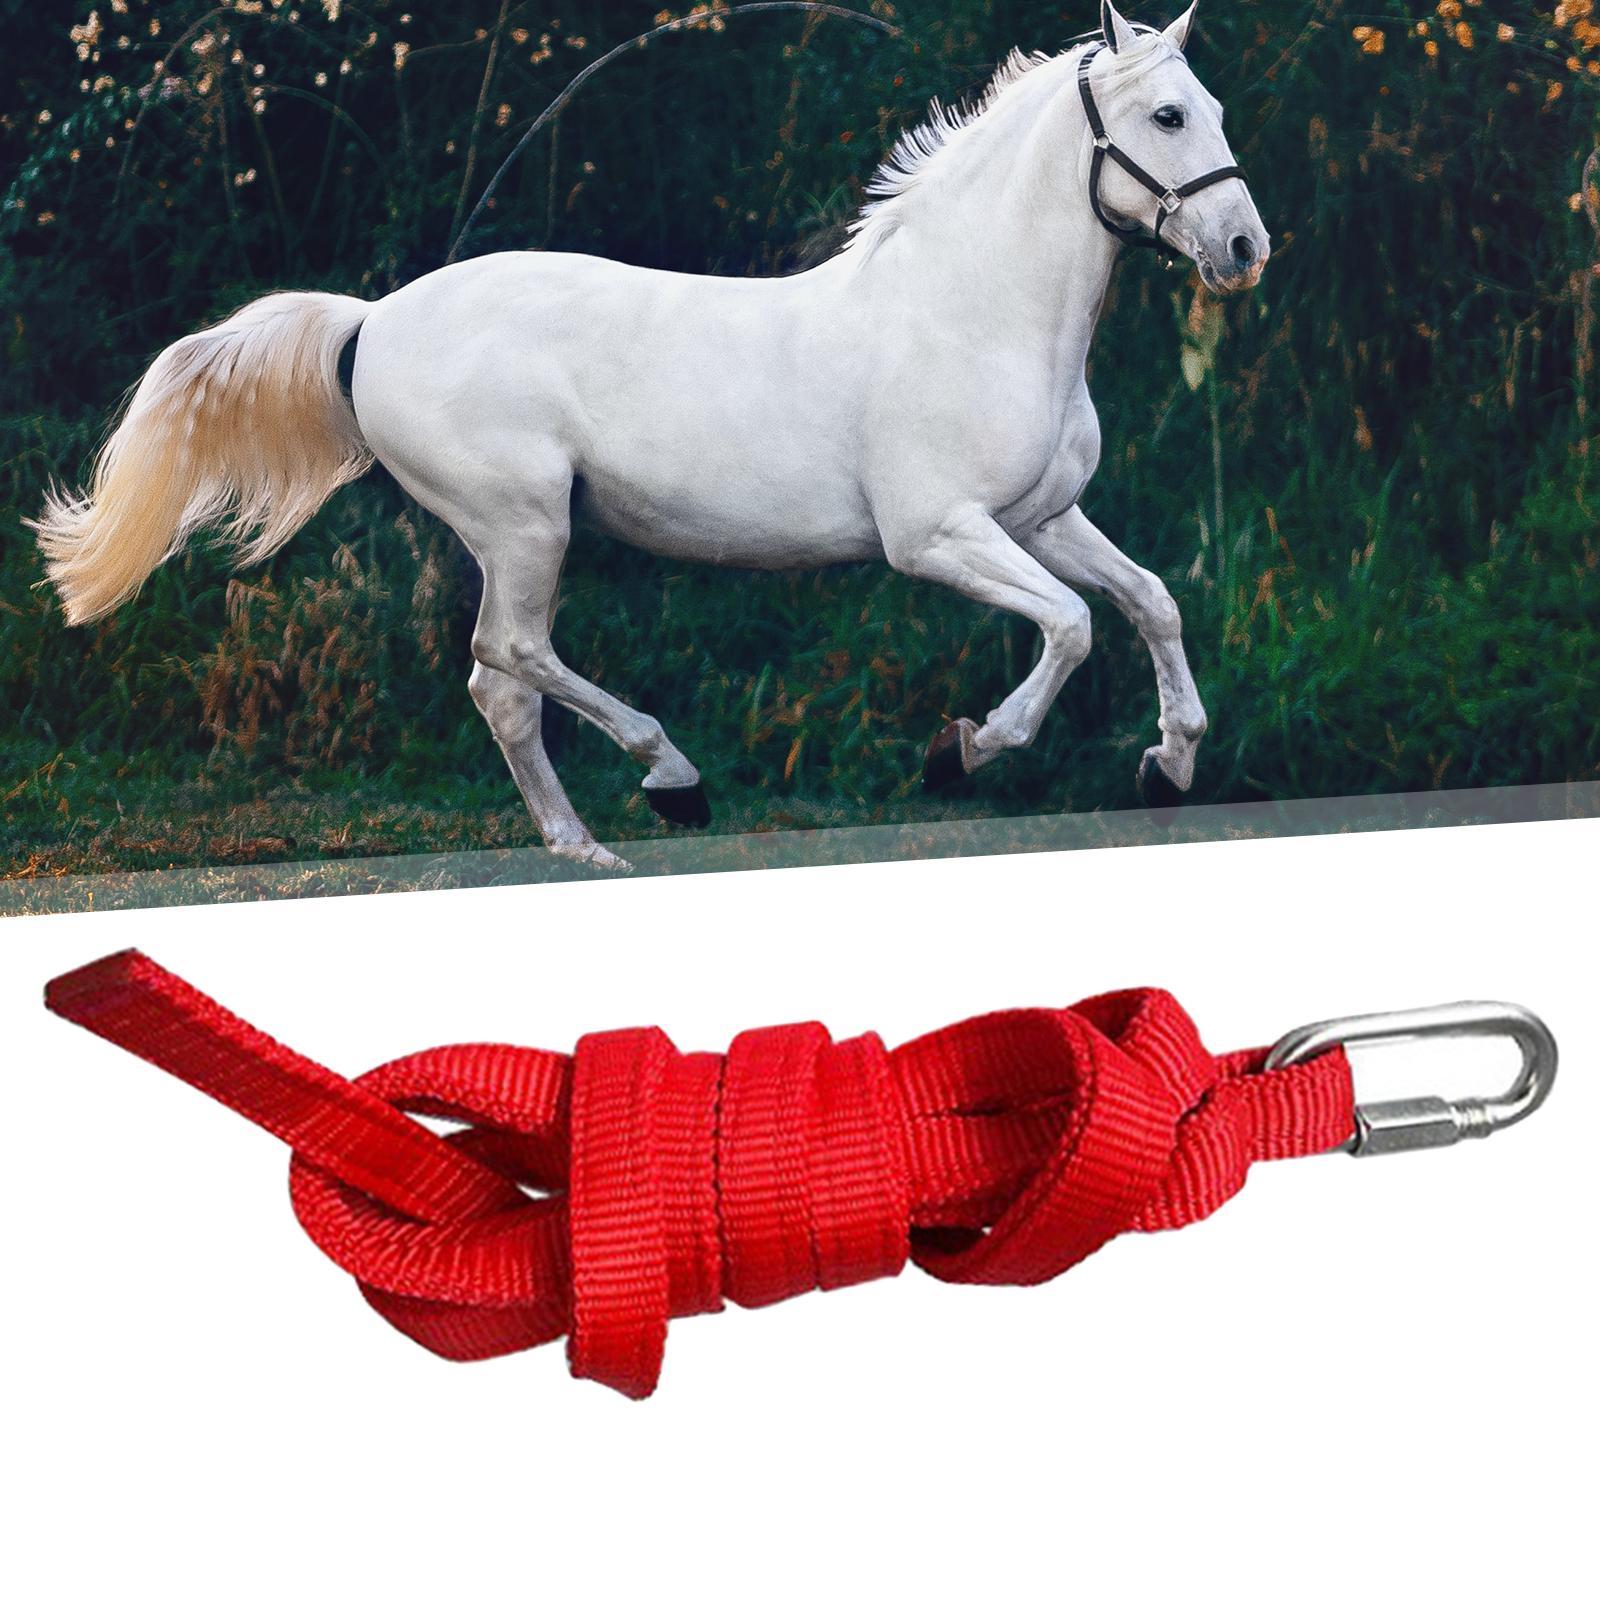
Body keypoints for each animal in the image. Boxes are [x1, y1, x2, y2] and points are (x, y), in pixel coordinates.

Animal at [33, 3, 1268, 871]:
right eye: (1167, 116)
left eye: (1212, 109)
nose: (1246, 248)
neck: (972, 309)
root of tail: (372, 320)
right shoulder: (938, 537)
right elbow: (1069, 628)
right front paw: (960, 750)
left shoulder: (1043, 518)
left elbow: (1150, 601)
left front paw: (1168, 765)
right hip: (525, 524)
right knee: (512, 657)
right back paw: (669, 779)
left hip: (515, 536)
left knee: (500, 685)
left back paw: (584, 844)